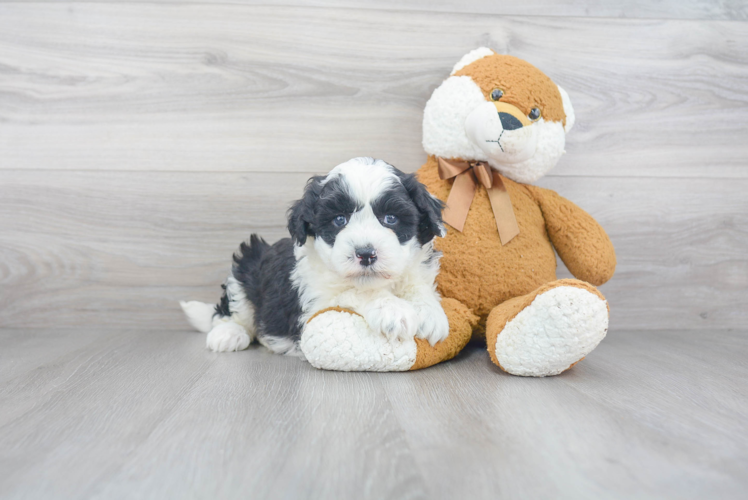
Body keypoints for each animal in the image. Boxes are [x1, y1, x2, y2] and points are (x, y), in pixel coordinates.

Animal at [180, 156, 450, 356]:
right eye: (339, 220)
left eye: (390, 218)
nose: (365, 254)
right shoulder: (316, 302)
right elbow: (355, 291)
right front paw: (393, 310)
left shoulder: (416, 270)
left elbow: (418, 287)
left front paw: (430, 314)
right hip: (247, 263)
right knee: (230, 311)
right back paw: (228, 334)